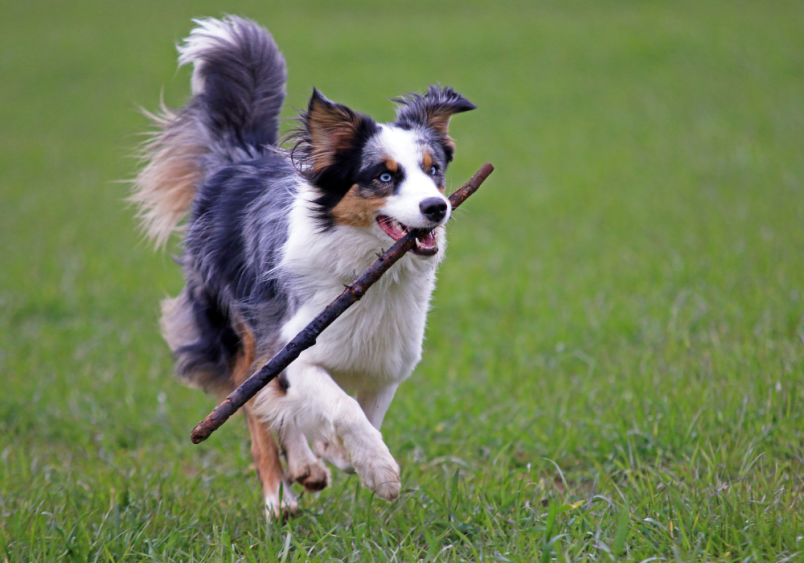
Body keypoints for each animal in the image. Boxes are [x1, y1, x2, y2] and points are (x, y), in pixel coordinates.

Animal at [130, 16, 472, 520]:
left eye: (434, 171)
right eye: (384, 176)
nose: (436, 208)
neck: (365, 269)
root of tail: (241, 156)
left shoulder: (386, 363)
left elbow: (360, 414)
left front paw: (339, 454)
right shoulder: (293, 348)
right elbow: (341, 409)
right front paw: (380, 473)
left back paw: (308, 466)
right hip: (242, 332)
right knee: (253, 407)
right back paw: (280, 499)